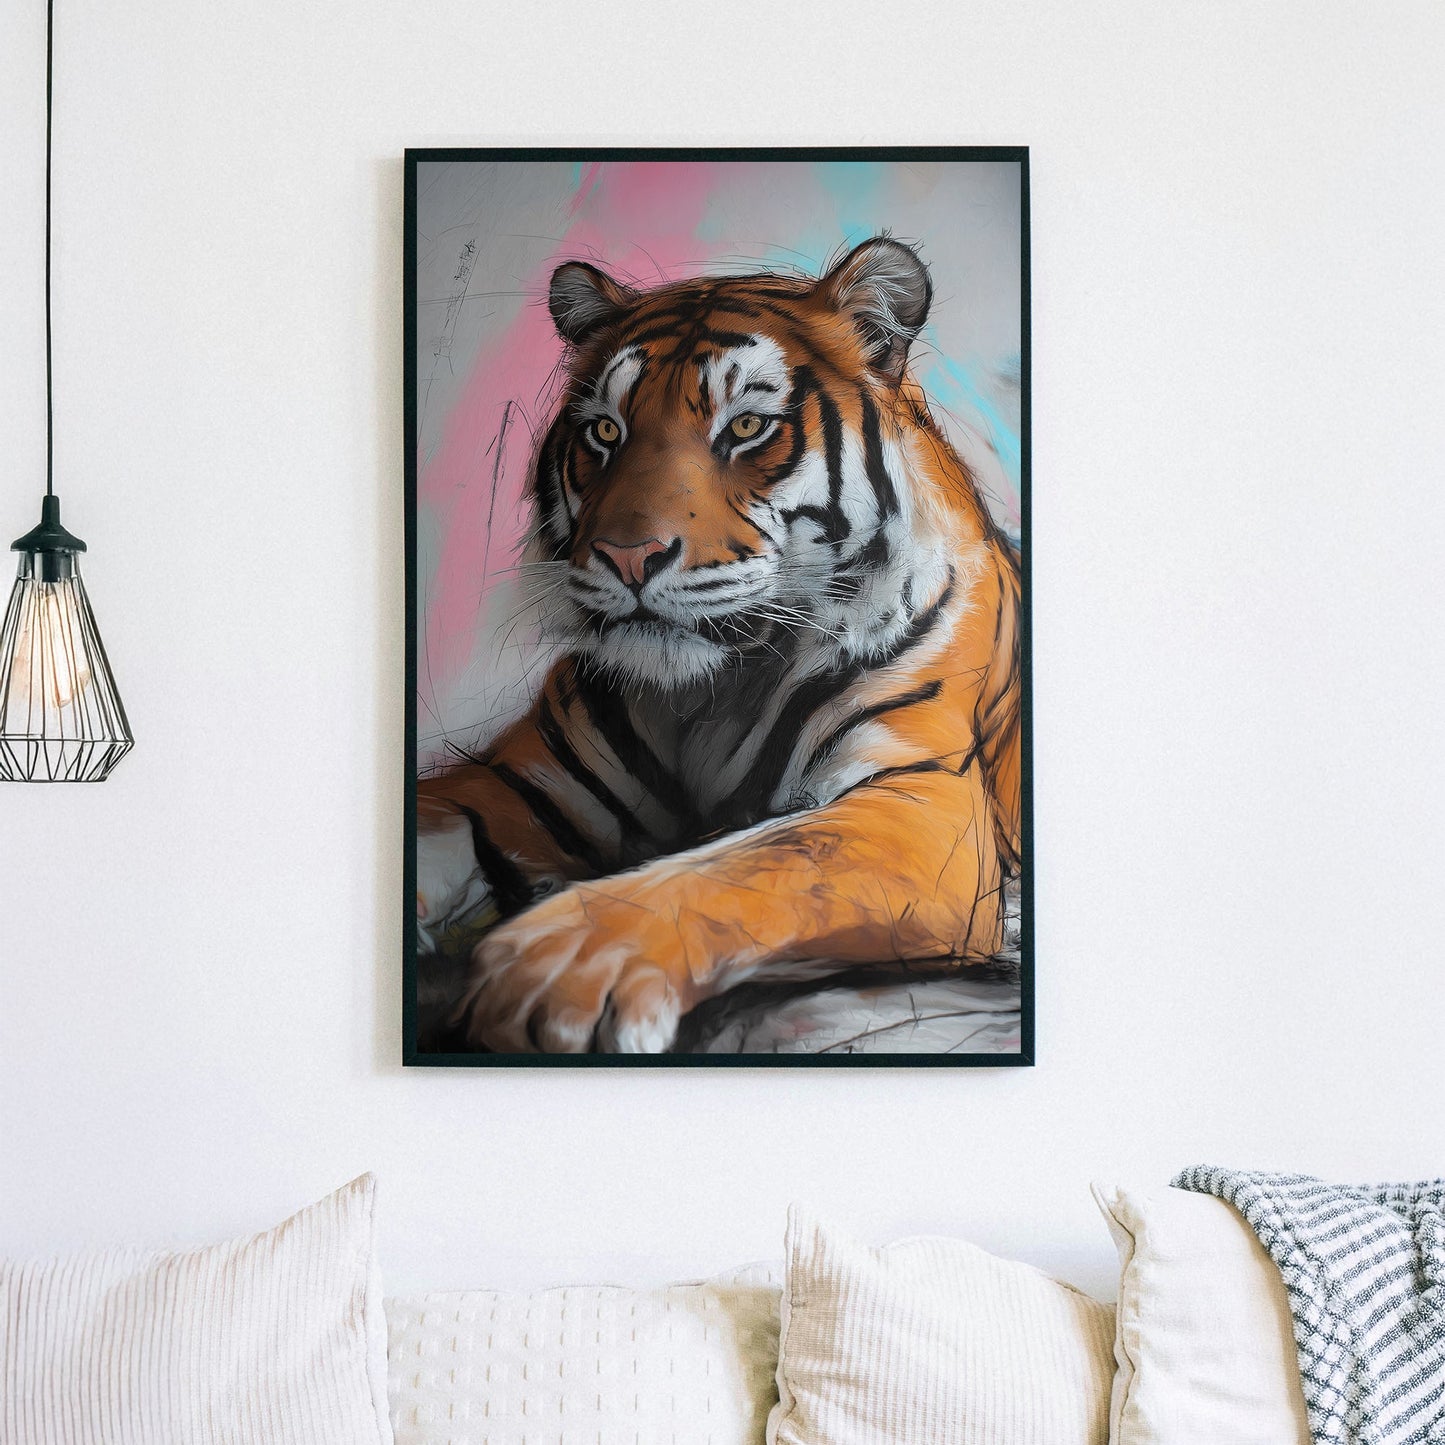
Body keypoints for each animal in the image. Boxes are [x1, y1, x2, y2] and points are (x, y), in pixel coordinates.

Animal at [416, 235, 1023, 1054]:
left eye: (744, 429)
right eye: (604, 432)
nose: (626, 555)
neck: (712, 695)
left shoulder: (919, 800)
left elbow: (757, 860)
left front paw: (555, 969)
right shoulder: (514, 782)